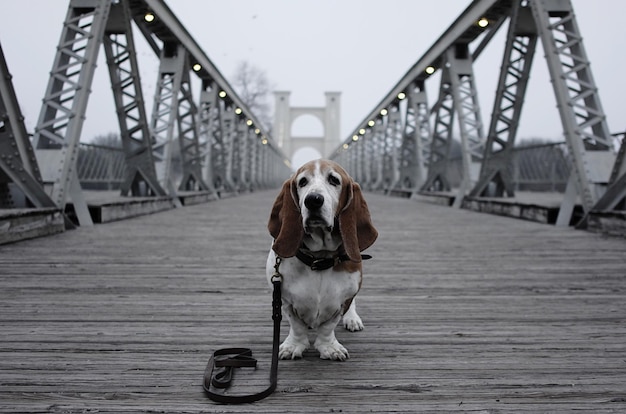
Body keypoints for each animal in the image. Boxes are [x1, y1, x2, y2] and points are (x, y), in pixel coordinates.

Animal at [264, 158, 376, 360]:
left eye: (334, 180)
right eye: (302, 182)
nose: (313, 200)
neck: (319, 260)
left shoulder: (343, 300)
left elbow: (328, 327)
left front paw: (328, 347)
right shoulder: (285, 299)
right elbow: (296, 326)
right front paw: (294, 346)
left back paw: (352, 319)